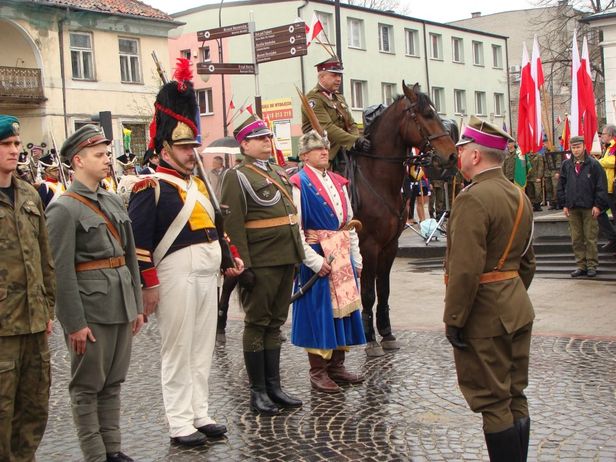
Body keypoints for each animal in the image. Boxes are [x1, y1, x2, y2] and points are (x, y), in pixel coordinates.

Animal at [348, 82, 454, 358]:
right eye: (426, 114)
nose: (452, 155)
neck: (376, 180)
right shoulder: (368, 246)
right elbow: (368, 292)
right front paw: (370, 339)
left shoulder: (390, 246)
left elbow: (384, 290)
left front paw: (386, 333)